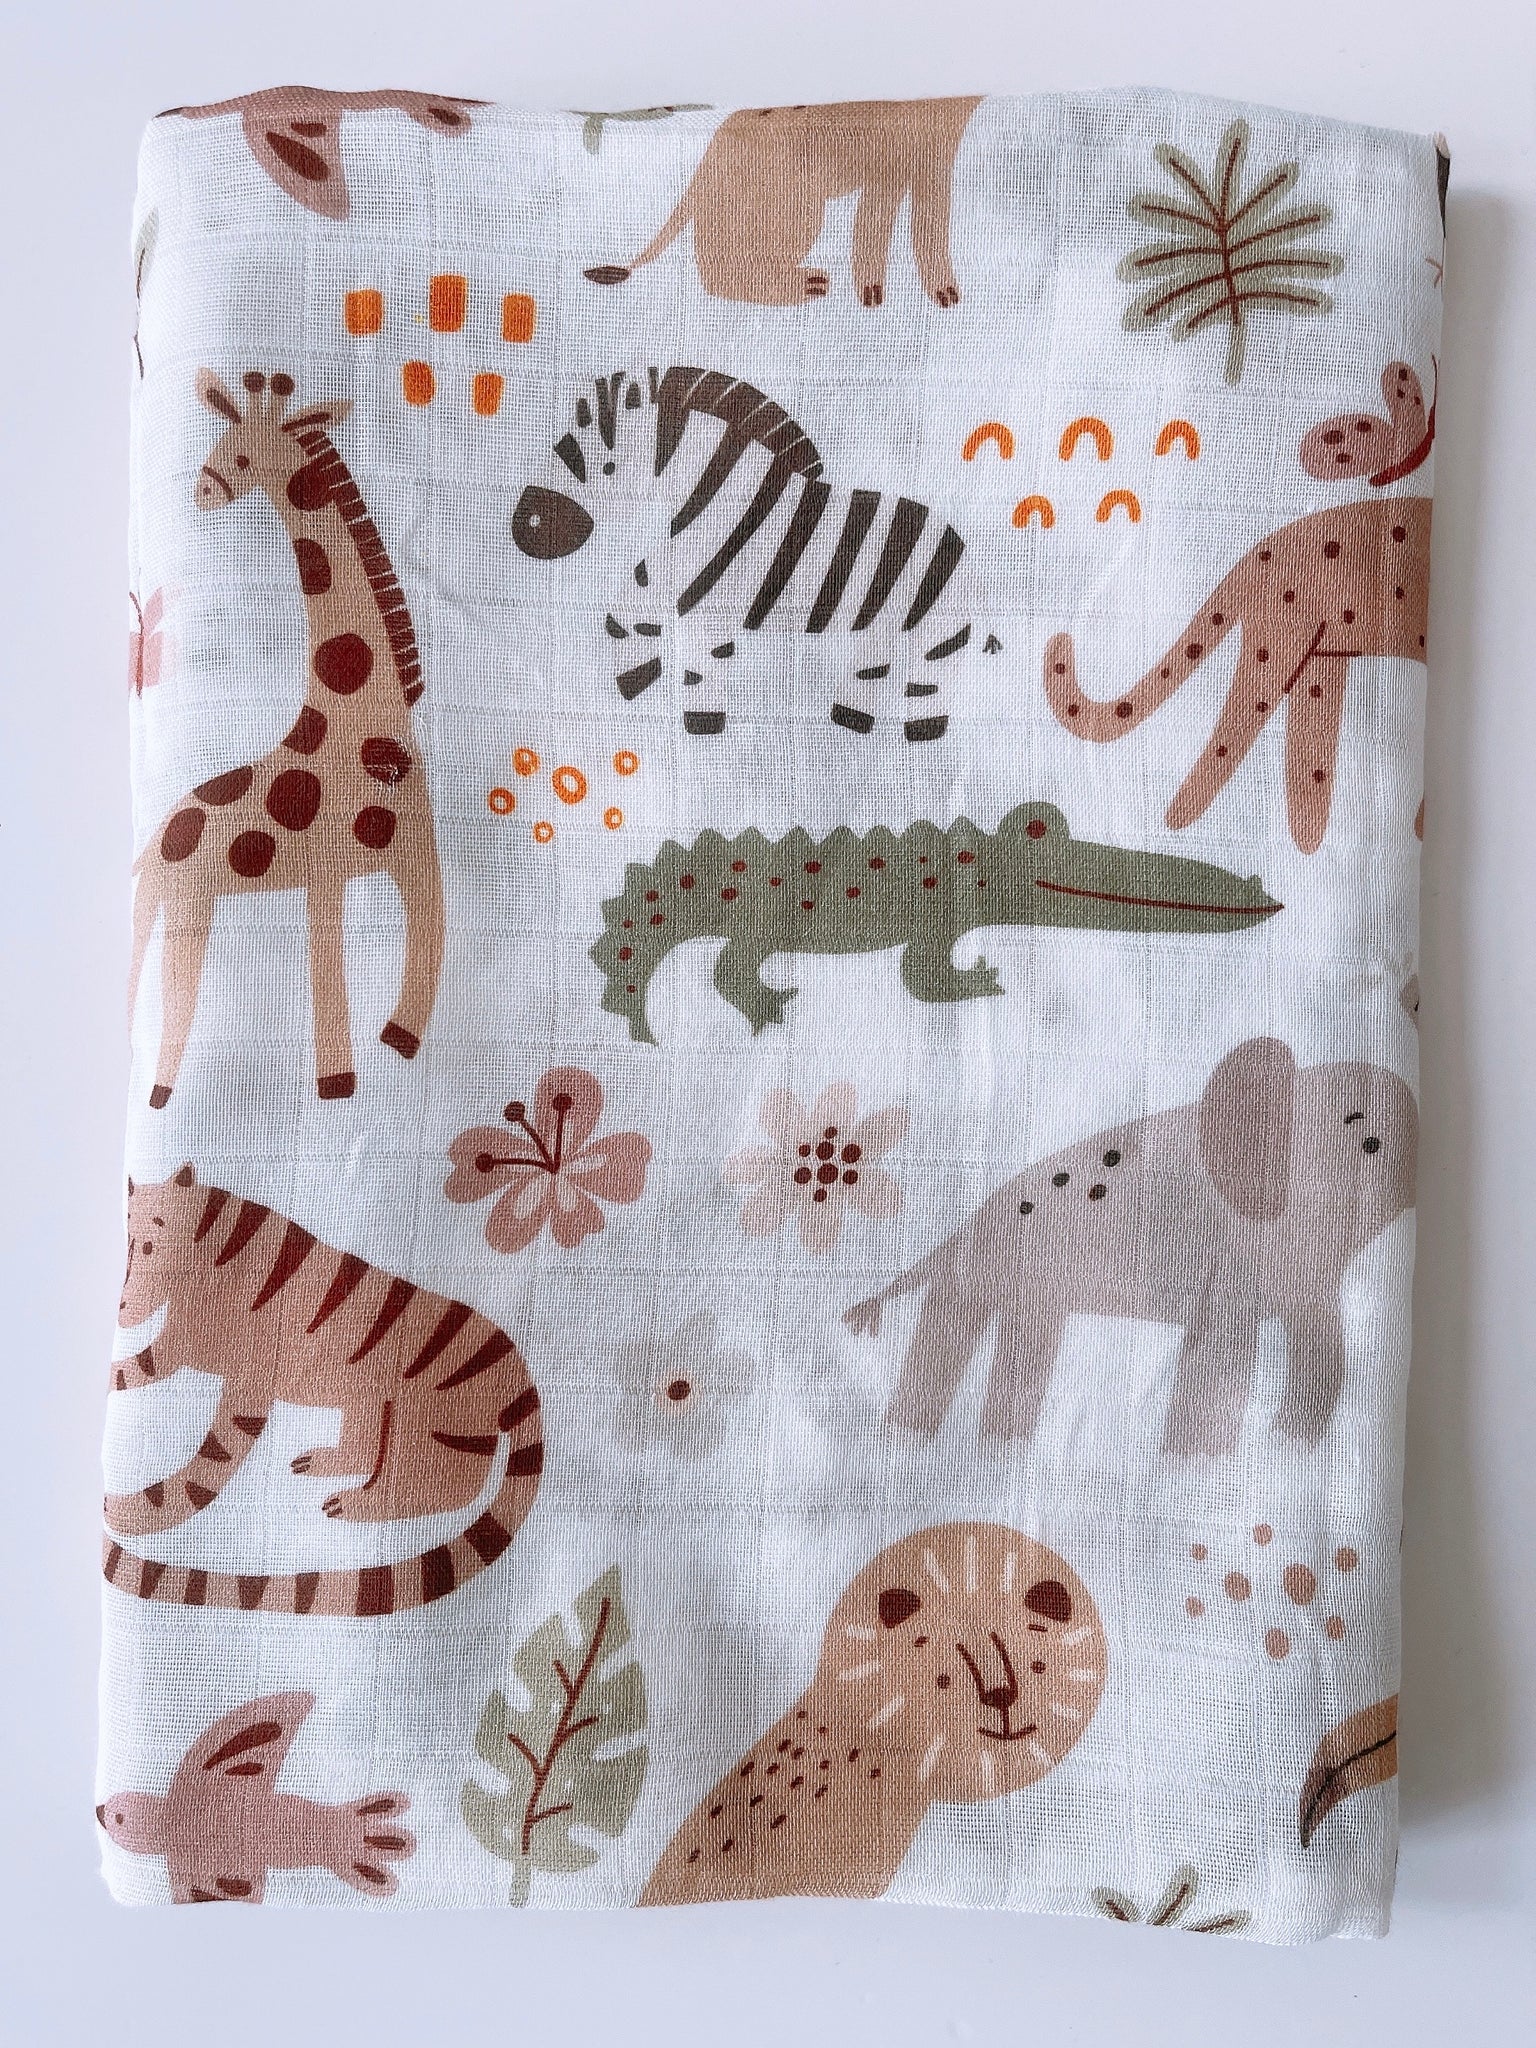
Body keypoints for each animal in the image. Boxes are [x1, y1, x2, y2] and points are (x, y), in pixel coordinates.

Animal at [128, 369, 444, 1106]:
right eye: (222, 443)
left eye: (243, 456)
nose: (201, 491)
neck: (360, 715)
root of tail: (156, 844)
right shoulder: (325, 871)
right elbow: (331, 965)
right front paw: (339, 1077)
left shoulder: (413, 850)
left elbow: (428, 930)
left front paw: (399, 1037)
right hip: (190, 902)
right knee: (175, 997)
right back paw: (160, 1096)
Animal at [510, 366, 997, 739]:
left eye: (608, 467)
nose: (524, 525)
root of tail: (962, 544)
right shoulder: (658, 590)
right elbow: (630, 628)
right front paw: (634, 690)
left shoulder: (709, 618)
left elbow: (697, 671)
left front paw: (701, 724)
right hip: (880, 634)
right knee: (872, 676)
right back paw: (852, 723)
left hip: (929, 638)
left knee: (923, 692)